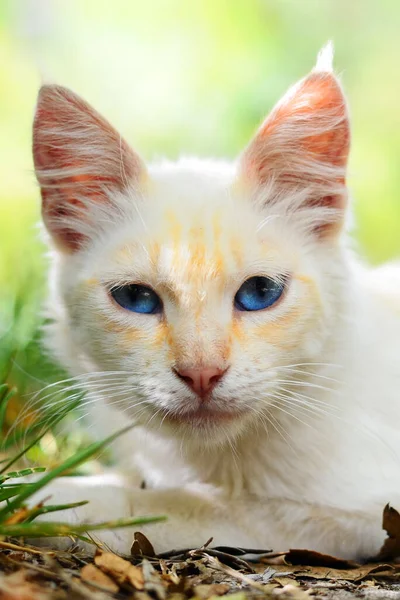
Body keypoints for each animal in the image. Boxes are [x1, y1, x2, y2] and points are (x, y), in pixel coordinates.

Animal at [30, 45, 400, 556]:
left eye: (260, 293)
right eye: (137, 298)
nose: (202, 373)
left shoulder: (364, 512)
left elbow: (195, 504)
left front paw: (50, 498)